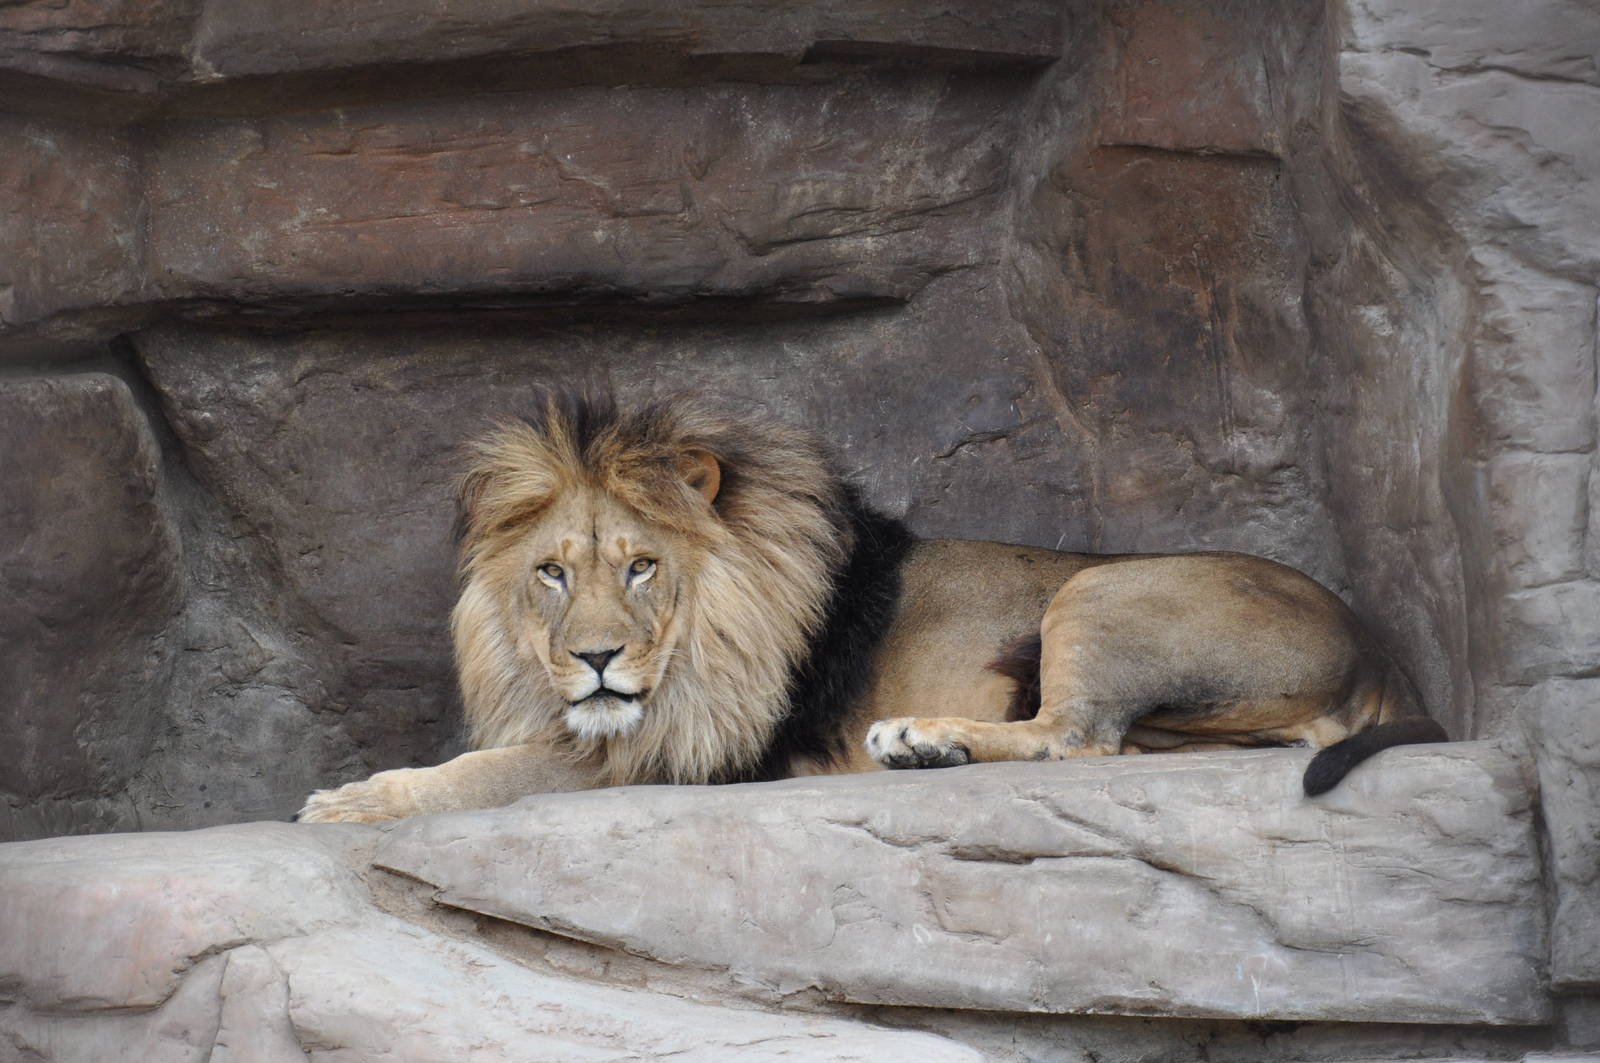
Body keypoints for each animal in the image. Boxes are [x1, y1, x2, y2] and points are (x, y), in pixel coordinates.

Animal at [297, 392, 1445, 823]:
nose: (595, 660)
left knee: (1075, 737)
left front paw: (352, 799)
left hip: (1095, 586)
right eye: (550, 572)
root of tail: (1380, 644)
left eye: (641, 567)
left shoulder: (687, 749)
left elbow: (493, 770)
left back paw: (920, 738)